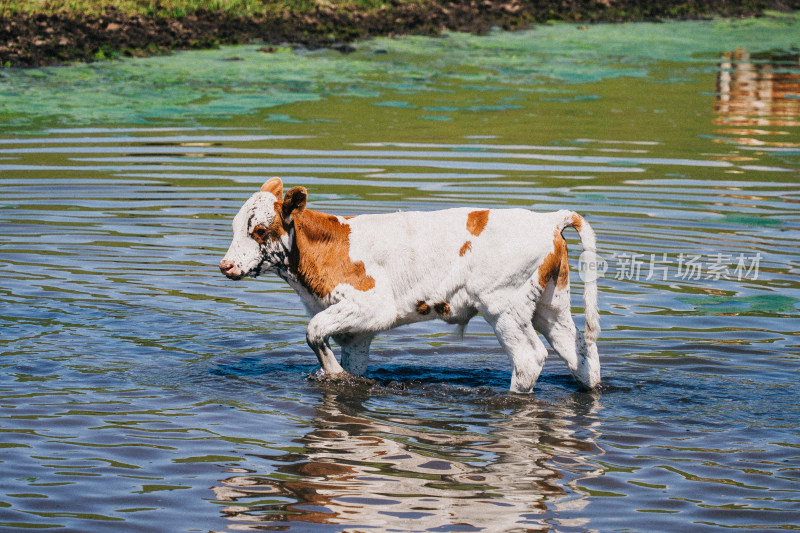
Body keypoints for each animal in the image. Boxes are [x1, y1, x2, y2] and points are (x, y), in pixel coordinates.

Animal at [219, 179, 600, 390]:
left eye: (260, 230)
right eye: (236, 226)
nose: (226, 265)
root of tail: (548, 219)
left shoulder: (373, 307)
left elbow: (313, 331)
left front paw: (333, 374)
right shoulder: (357, 331)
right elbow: (349, 361)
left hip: (504, 307)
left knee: (529, 359)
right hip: (551, 306)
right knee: (580, 353)